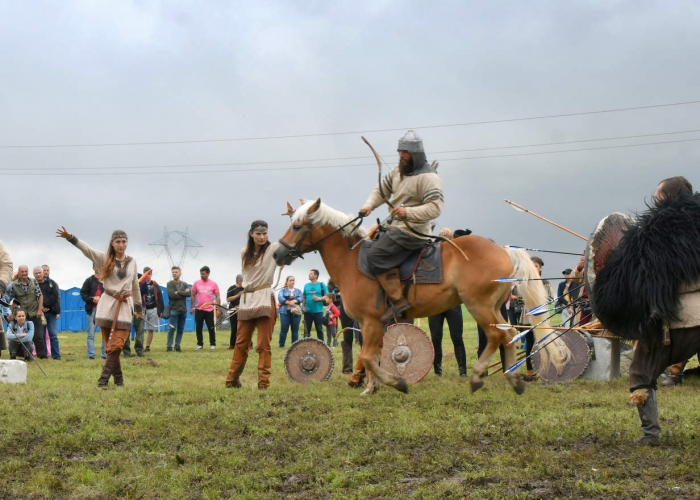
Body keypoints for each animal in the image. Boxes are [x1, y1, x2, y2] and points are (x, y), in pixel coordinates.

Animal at [272, 198, 568, 394]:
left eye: (297, 227)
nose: (277, 254)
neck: (353, 262)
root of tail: (503, 249)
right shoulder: (371, 325)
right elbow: (371, 356)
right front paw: (371, 387)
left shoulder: (372, 322)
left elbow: (367, 357)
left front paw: (395, 383)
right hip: (494, 307)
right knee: (508, 334)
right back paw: (513, 379)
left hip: (478, 305)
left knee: (497, 335)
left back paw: (477, 377)